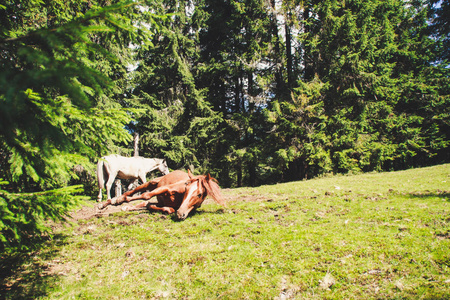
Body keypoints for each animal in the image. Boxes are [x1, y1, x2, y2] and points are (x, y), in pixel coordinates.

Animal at [97, 171, 227, 220]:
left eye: (199, 194)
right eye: (186, 188)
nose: (180, 213)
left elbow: (166, 208)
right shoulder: (165, 188)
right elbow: (146, 195)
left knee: (145, 203)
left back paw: (127, 207)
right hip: (151, 183)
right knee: (132, 193)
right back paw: (111, 202)